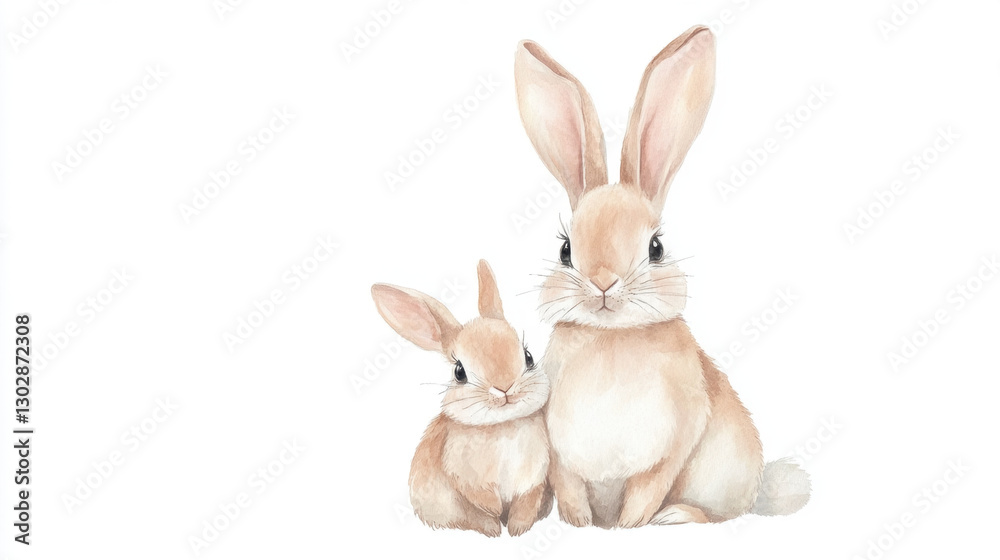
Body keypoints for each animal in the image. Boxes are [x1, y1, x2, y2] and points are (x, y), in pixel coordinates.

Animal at [370, 260, 553, 537]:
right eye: (459, 372)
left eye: (528, 356)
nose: (505, 388)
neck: (503, 425)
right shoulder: (461, 474)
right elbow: (477, 495)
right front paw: (496, 511)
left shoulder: (534, 480)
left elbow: (527, 502)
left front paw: (517, 530)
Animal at [513, 26, 810, 529]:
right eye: (566, 250)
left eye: (656, 247)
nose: (604, 282)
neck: (612, 338)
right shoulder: (561, 459)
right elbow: (571, 492)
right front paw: (581, 526)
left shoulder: (674, 446)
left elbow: (646, 492)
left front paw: (629, 527)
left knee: (716, 514)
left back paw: (677, 516)